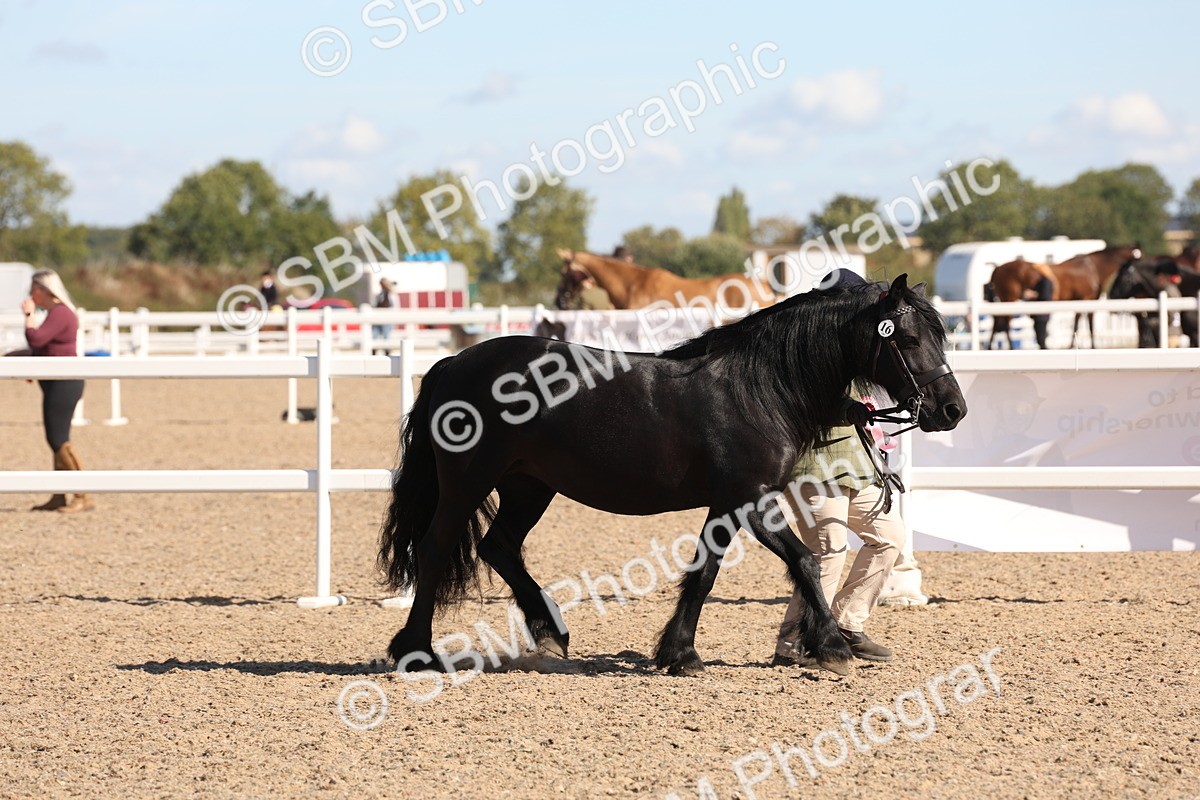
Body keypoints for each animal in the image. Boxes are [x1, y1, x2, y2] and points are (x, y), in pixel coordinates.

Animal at [378, 274, 966, 677]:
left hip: (529, 486)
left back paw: (550, 633)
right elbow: (793, 560)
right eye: (908, 339)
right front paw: (833, 647)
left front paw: (678, 652)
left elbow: (710, 570)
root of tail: (452, 364)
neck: (759, 386)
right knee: (436, 549)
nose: (952, 409)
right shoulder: (745, 497)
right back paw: (416, 651)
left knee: (498, 546)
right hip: (467, 483)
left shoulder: (730, 504)